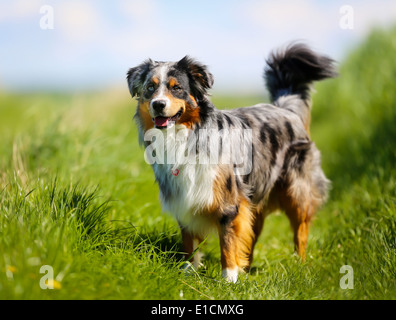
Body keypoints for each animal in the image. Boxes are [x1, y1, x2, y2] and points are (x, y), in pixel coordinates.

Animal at [127, 43, 338, 282]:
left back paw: (298, 264)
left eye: (177, 88)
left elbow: (227, 241)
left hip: (297, 191)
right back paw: (247, 269)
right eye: (150, 88)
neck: (186, 136)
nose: (158, 104)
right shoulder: (183, 196)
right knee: (252, 235)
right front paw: (189, 271)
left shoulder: (228, 201)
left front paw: (229, 278)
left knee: (300, 230)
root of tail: (285, 108)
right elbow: (189, 240)